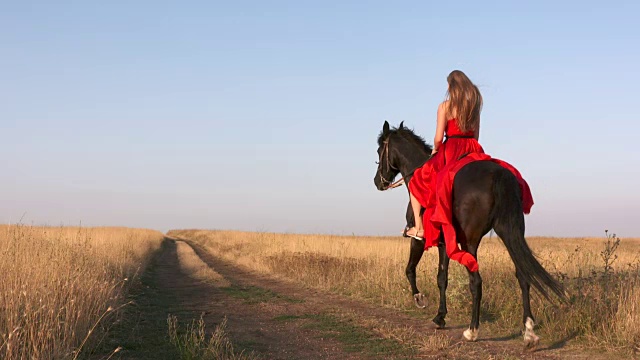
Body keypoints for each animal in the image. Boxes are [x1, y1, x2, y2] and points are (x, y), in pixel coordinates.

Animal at [372, 120, 568, 346]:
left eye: (380, 150)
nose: (378, 182)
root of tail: (499, 175)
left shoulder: (419, 240)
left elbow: (410, 270)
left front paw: (420, 299)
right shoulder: (445, 243)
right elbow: (442, 278)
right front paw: (440, 317)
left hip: (470, 242)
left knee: (476, 281)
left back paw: (472, 330)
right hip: (510, 232)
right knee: (523, 275)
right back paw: (528, 331)